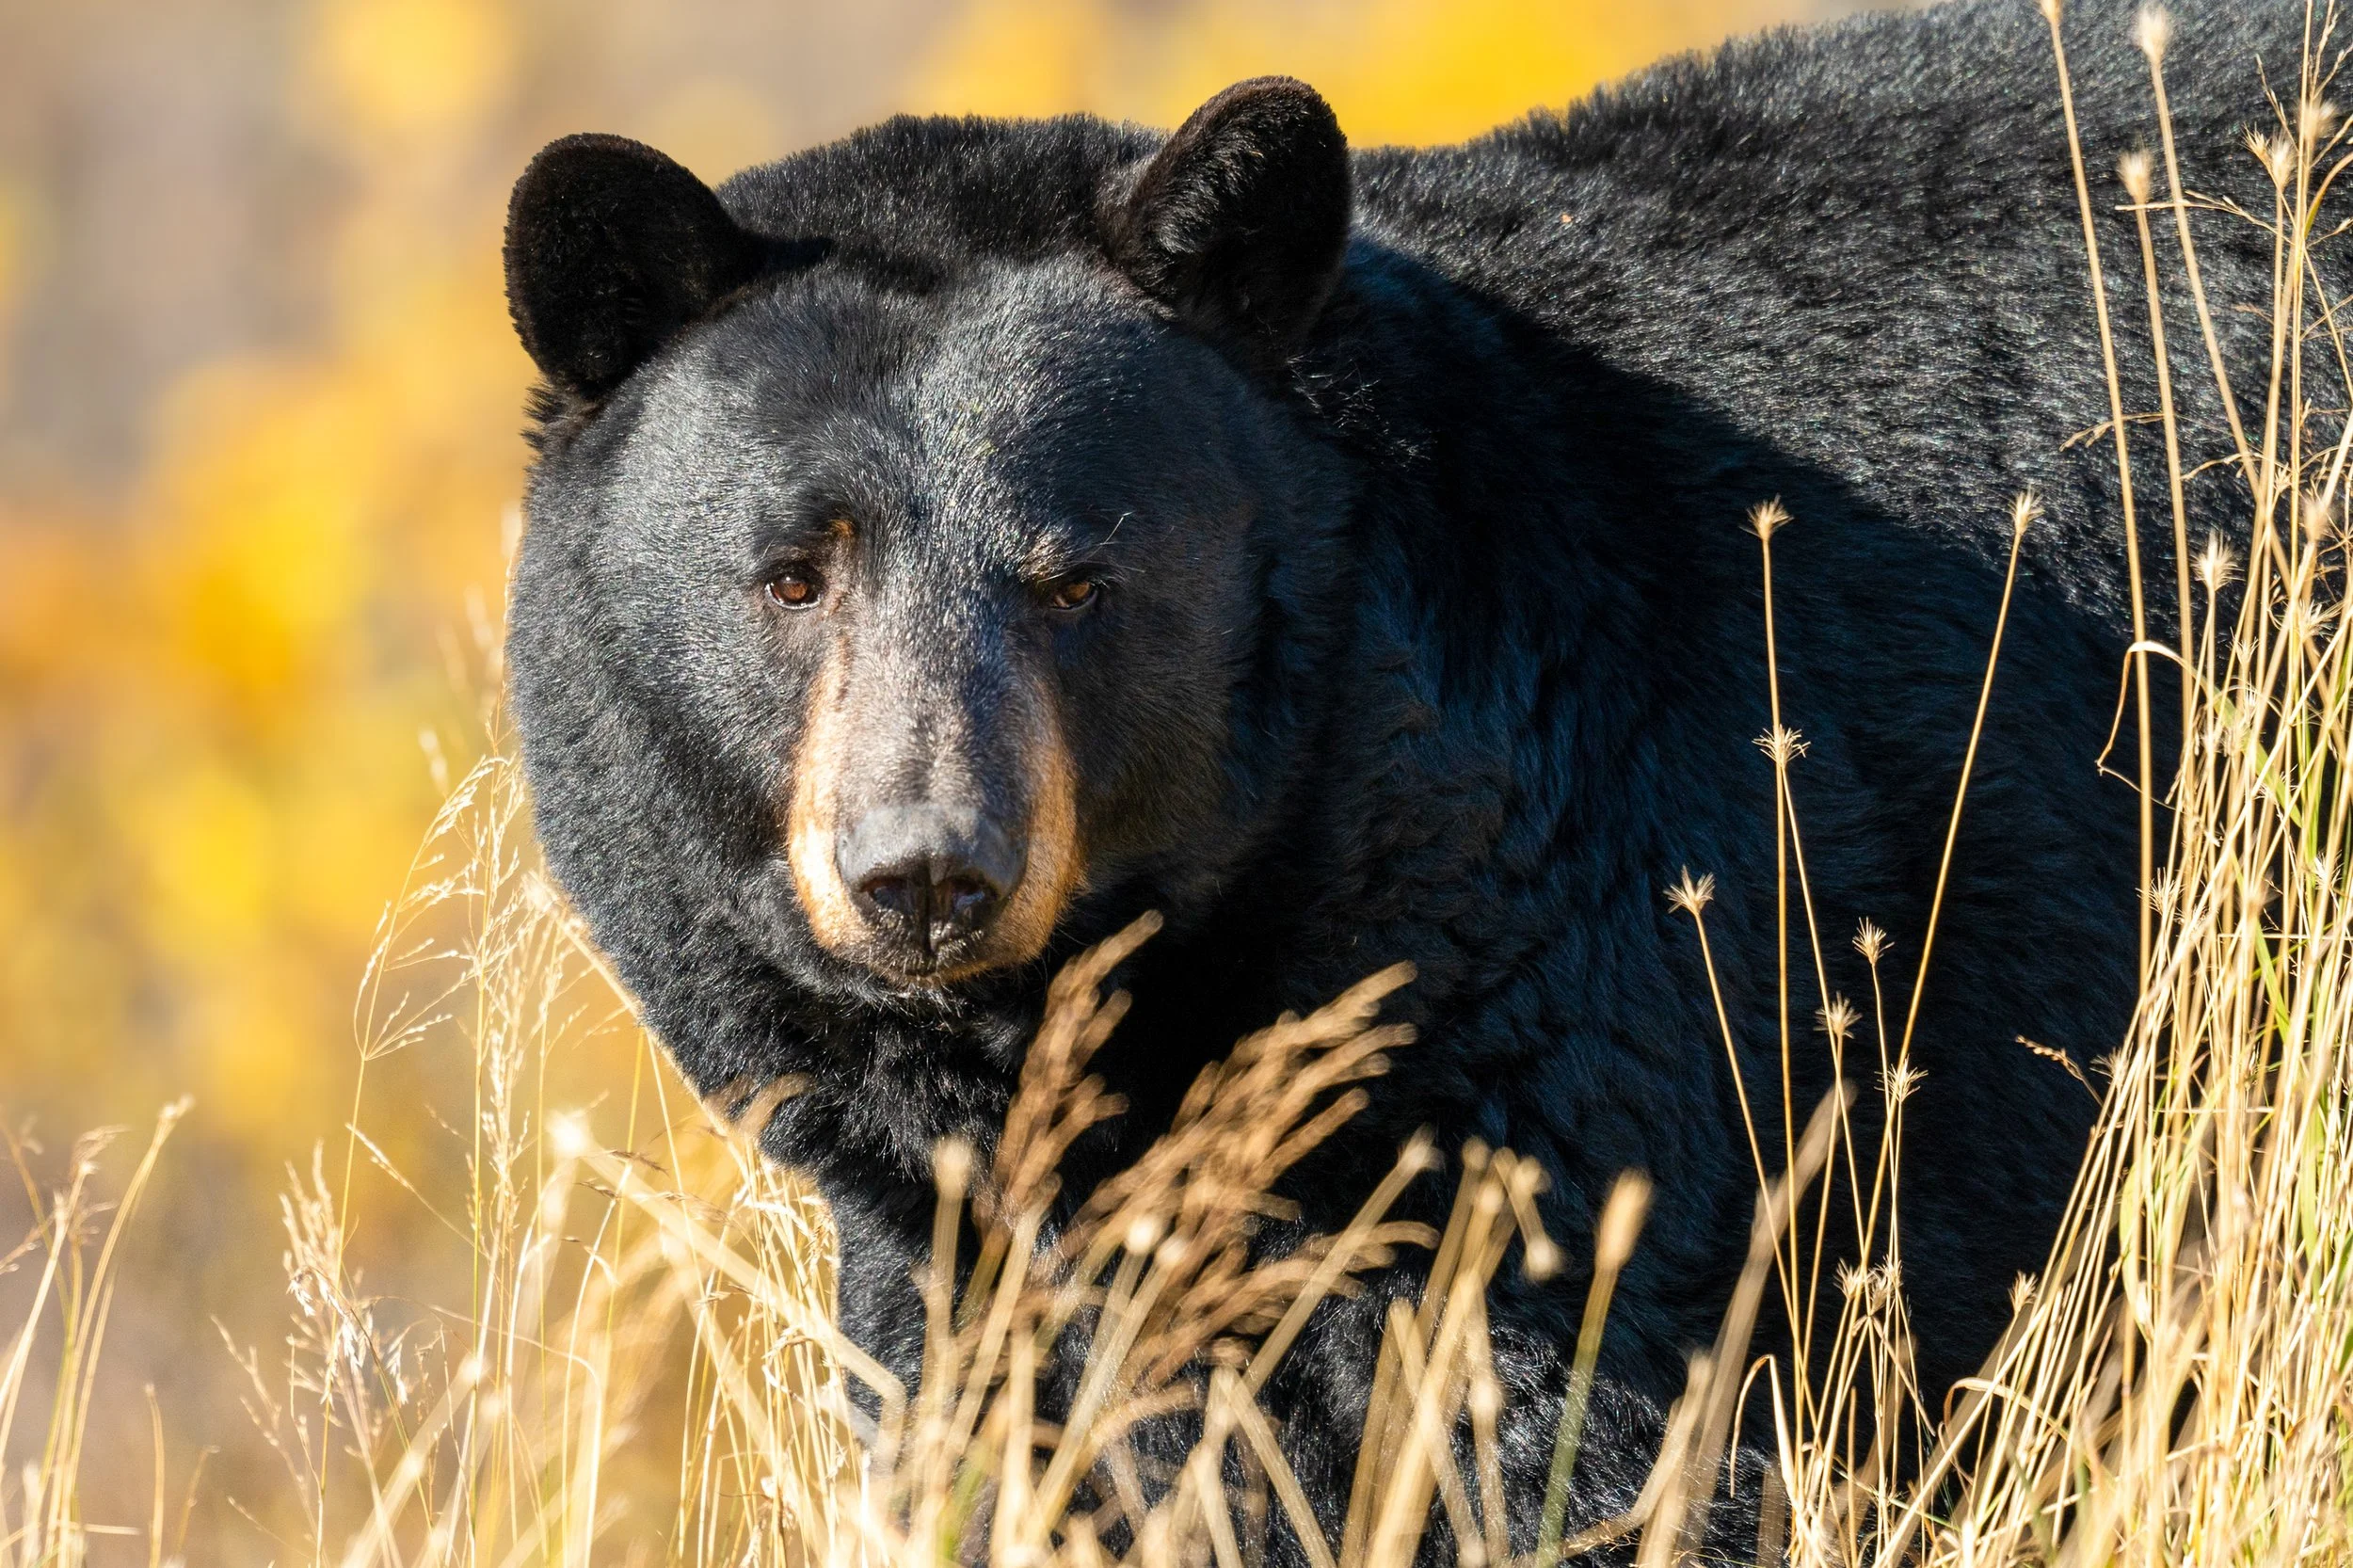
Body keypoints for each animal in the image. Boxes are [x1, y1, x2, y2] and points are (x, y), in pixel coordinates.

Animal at [500, 0, 2285, 1553]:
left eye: (1080, 581)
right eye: (793, 575)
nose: (928, 870)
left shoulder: (1656, 1042)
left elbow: (1599, 1454)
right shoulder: (961, 1268)